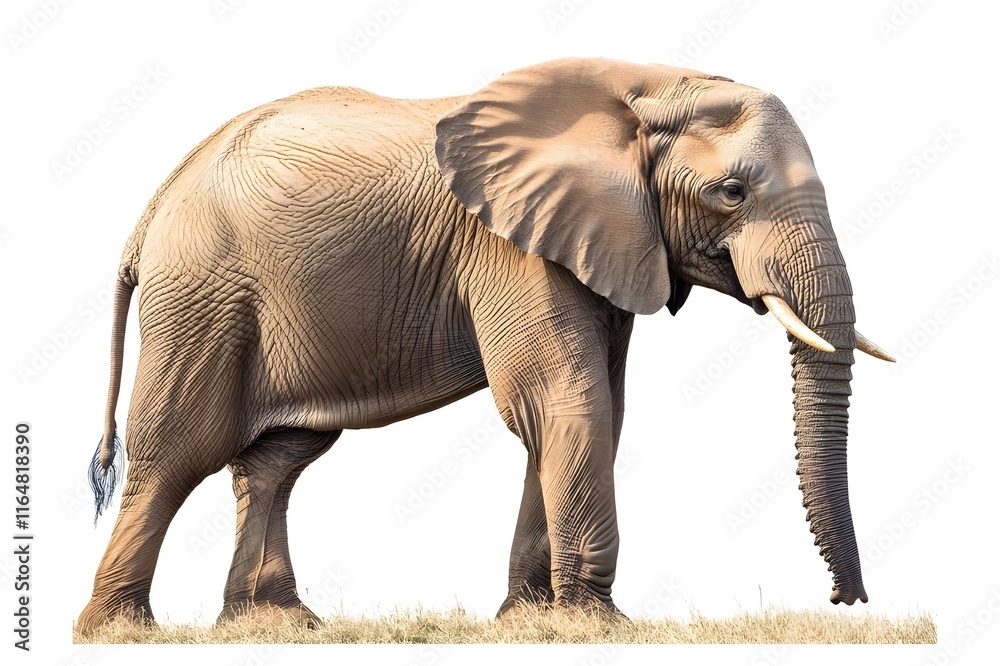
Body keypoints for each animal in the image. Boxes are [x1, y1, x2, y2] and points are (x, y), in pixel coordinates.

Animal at [76, 57, 894, 634]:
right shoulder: (512, 248)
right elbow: (563, 399)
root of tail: (148, 213)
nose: (845, 600)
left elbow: (593, 407)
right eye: (732, 194)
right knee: (176, 453)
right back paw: (119, 632)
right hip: (203, 295)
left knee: (277, 460)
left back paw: (274, 624)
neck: (644, 88)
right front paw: (597, 624)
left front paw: (531, 619)